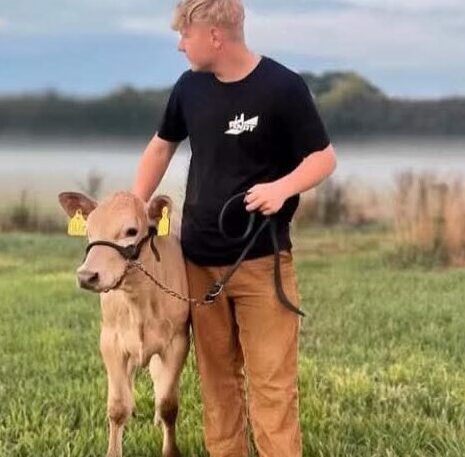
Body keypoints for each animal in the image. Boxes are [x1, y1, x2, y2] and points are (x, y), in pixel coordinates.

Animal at [59, 191, 190, 457]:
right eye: (89, 230)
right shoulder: (111, 343)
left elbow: (168, 404)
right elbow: (118, 406)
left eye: (131, 230)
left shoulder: (177, 343)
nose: (86, 276)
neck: (139, 300)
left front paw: (170, 449)